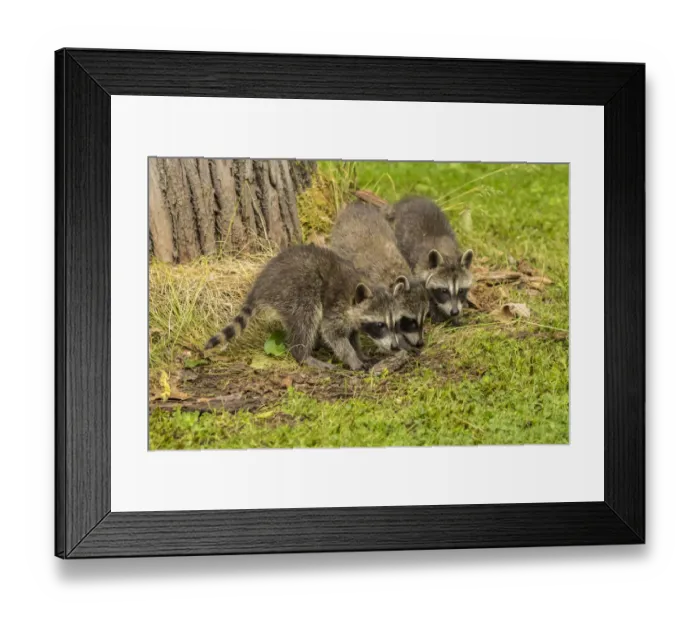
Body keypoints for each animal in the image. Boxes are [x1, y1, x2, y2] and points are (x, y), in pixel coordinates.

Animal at [204, 244, 404, 371]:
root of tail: (261, 285)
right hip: (296, 290)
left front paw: (359, 352)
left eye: (395, 324)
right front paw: (352, 358)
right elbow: (333, 334)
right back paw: (303, 355)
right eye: (380, 325)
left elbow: (352, 335)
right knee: (306, 317)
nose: (395, 346)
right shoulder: (336, 306)